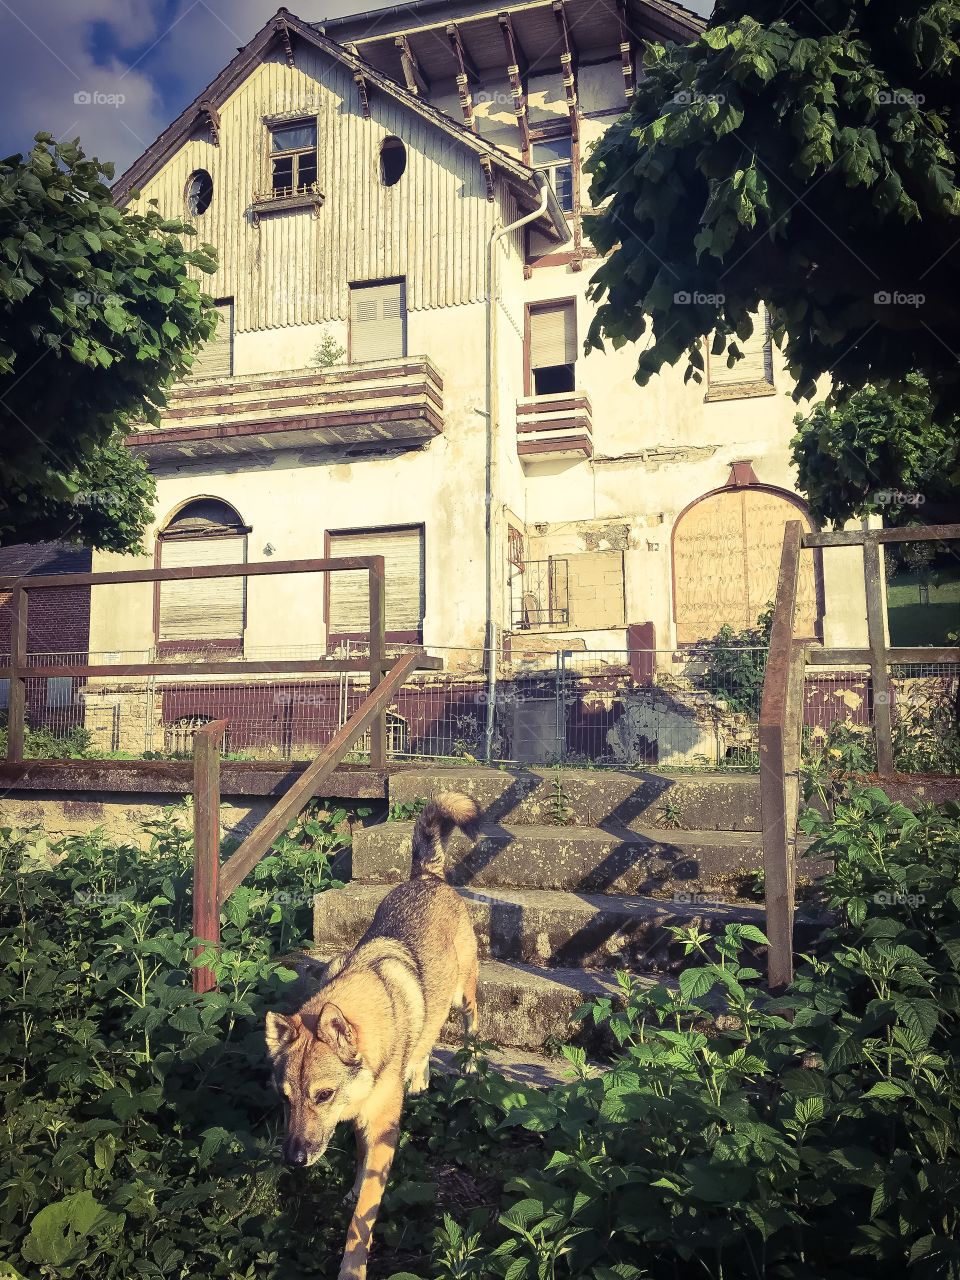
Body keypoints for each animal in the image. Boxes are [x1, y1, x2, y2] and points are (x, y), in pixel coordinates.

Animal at [264, 788, 481, 1280]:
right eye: (284, 1099)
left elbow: (362, 1217)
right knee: (427, 1037)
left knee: (473, 1023)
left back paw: (471, 1065)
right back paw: (418, 1073)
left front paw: (352, 1267)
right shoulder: (364, 1123)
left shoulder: (382, 1130)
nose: (293, 1160)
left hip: (464, 993)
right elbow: (359, 1171)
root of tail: (428, 877)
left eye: (322, 1095)